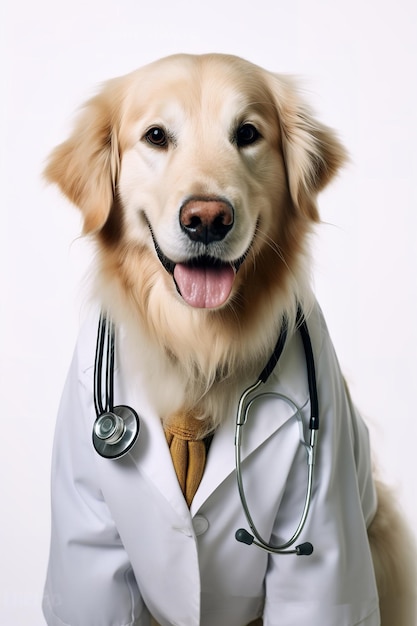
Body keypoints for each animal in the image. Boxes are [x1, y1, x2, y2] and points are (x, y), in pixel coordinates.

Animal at [44, 54, 414, 624]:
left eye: (247, 134)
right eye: (156, 136)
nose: (207, 219)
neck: (198, 347)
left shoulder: (325, 523)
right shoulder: (86, 525)